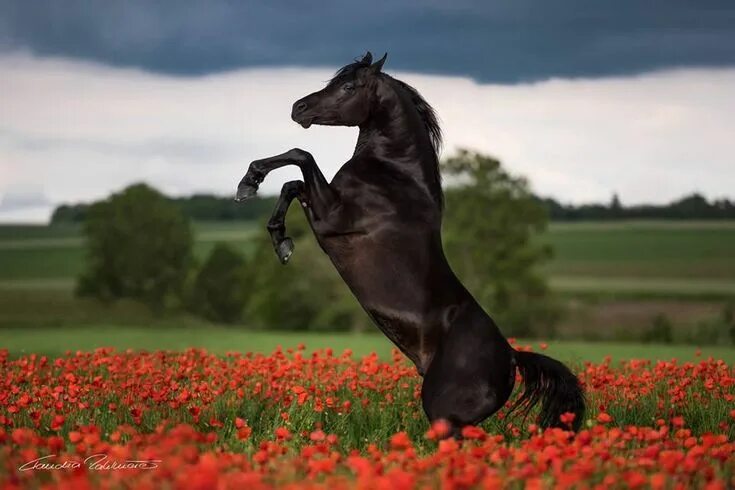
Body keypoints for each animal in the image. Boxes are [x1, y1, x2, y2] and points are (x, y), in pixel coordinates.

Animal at [239, 52, 584, 436]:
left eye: (348, 86)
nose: (298, 108)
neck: (394, 175)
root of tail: (511, 357)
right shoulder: (320, 205)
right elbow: (292, 184)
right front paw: (279, 238)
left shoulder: (331, 217)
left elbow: (301, 156)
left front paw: (250, 183)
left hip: (444, 414)